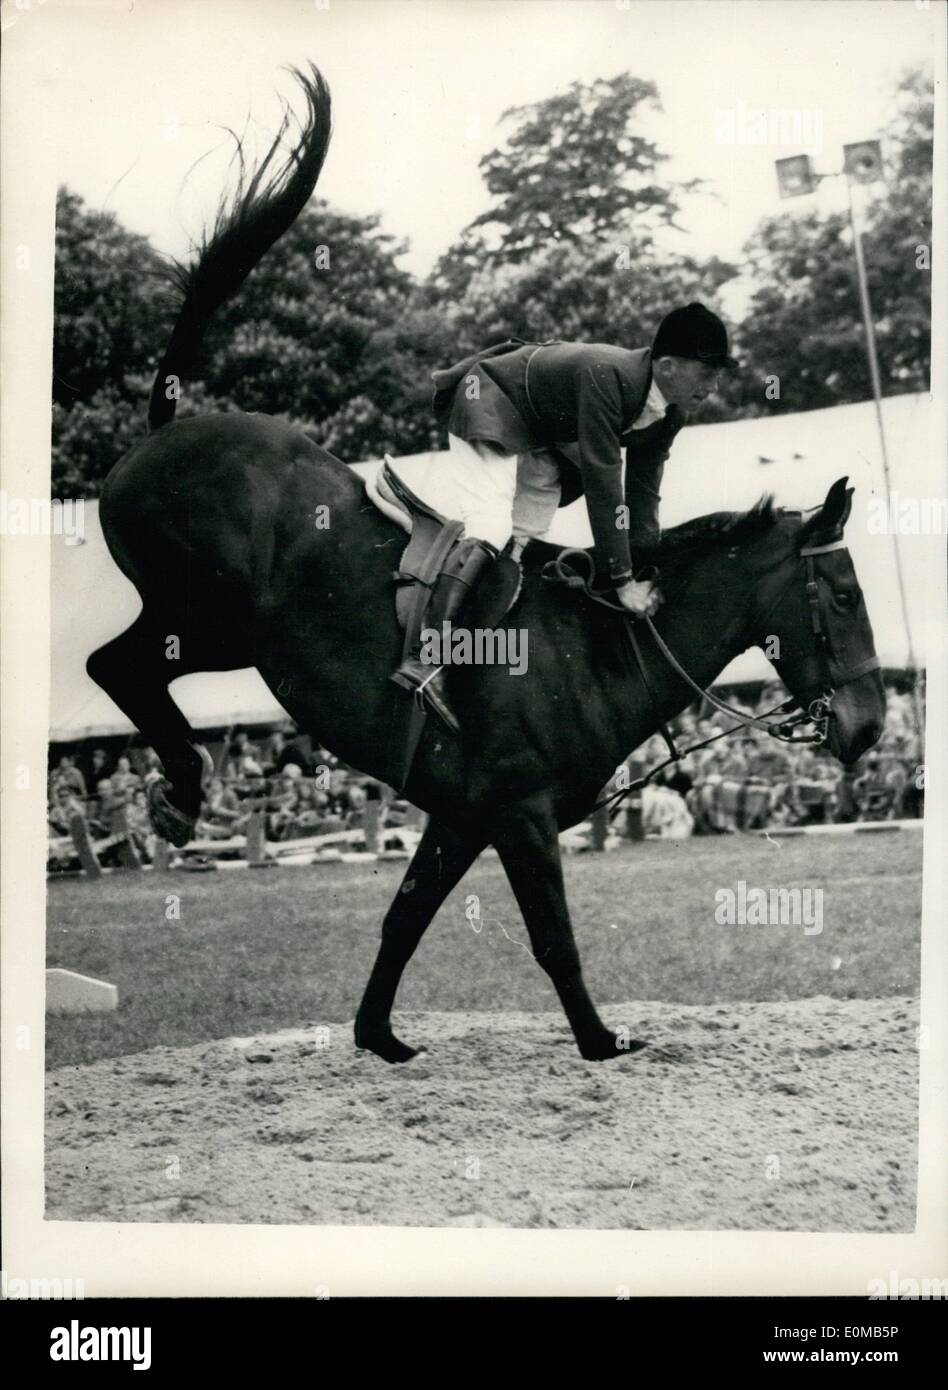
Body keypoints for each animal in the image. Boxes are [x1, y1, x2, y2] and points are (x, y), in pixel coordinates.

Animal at [84, 62, 884, 1061]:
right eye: (843, 596)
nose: (871, 730)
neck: (601, 652)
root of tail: (169, 429)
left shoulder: (461, 816)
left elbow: (404, 917)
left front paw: (379, 1035)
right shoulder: (519, 814)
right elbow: (552, 939)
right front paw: (600, 1040)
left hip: (220, 634)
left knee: (125, 667)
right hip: (210, 621)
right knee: (113, 665)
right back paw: (182, 794)